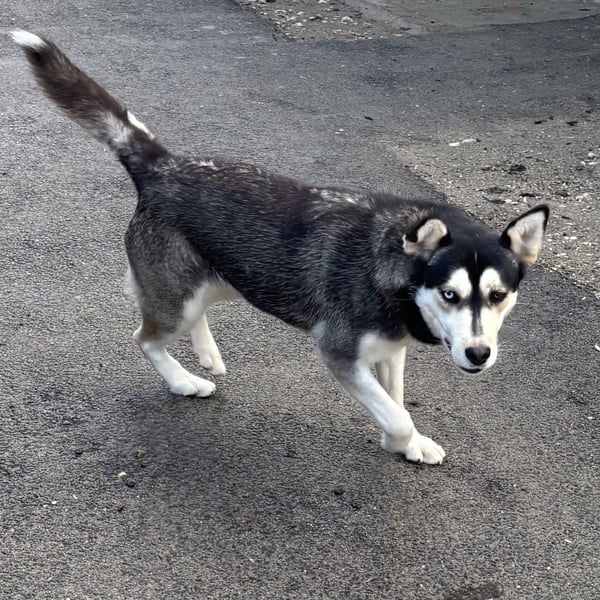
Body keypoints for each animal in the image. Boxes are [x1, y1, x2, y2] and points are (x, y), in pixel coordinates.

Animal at [12, 30, 548, 465]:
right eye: (450, 295)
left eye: (498, 296)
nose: (478, 353)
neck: (390, 273)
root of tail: (163, 164)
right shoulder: (339, 353)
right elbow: (396, 414)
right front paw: (400, 439)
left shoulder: (390, 350)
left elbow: (395, 400)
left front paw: (410, 444)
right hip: (176, 300)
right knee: (146, 338)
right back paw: (185, 380)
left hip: (228, 278)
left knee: (194, 314)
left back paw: (206, 353)